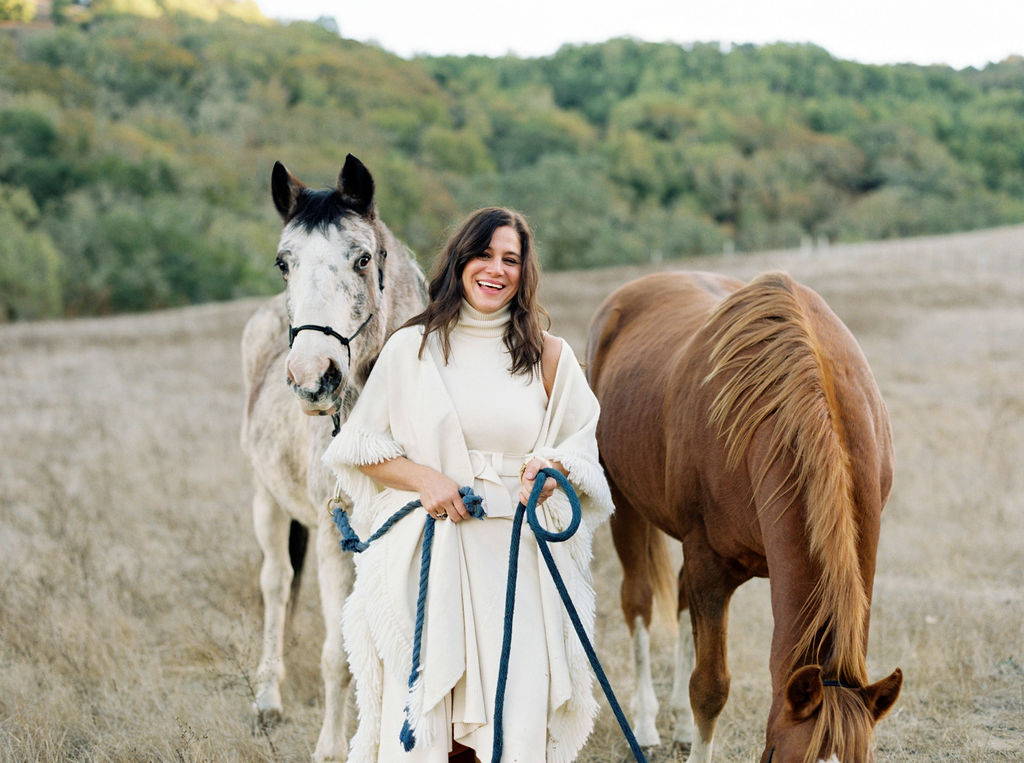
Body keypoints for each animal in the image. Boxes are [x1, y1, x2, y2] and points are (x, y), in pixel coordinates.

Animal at [589, 270, 901, 757]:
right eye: (783, 758)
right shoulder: (710, 564)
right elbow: (710, 687)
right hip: (622, 502)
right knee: (638, 601)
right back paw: (644, 724)